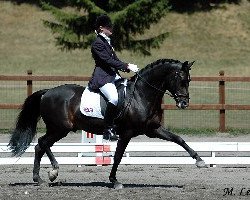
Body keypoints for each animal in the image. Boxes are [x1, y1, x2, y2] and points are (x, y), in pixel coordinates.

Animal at [8, 58, 206, 188]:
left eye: (189, 80)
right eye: (181, 80)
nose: (184, 103)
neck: (141, 95)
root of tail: (47, 92)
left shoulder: (153, 129)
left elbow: (178, 139)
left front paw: (200, 161)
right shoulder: (126, 133)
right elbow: (117, 156)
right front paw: (114, 181)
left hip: (59, 129)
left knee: (42, 144)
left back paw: (51, 173)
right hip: (60, 129)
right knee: (41, 144)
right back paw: (41, 177)